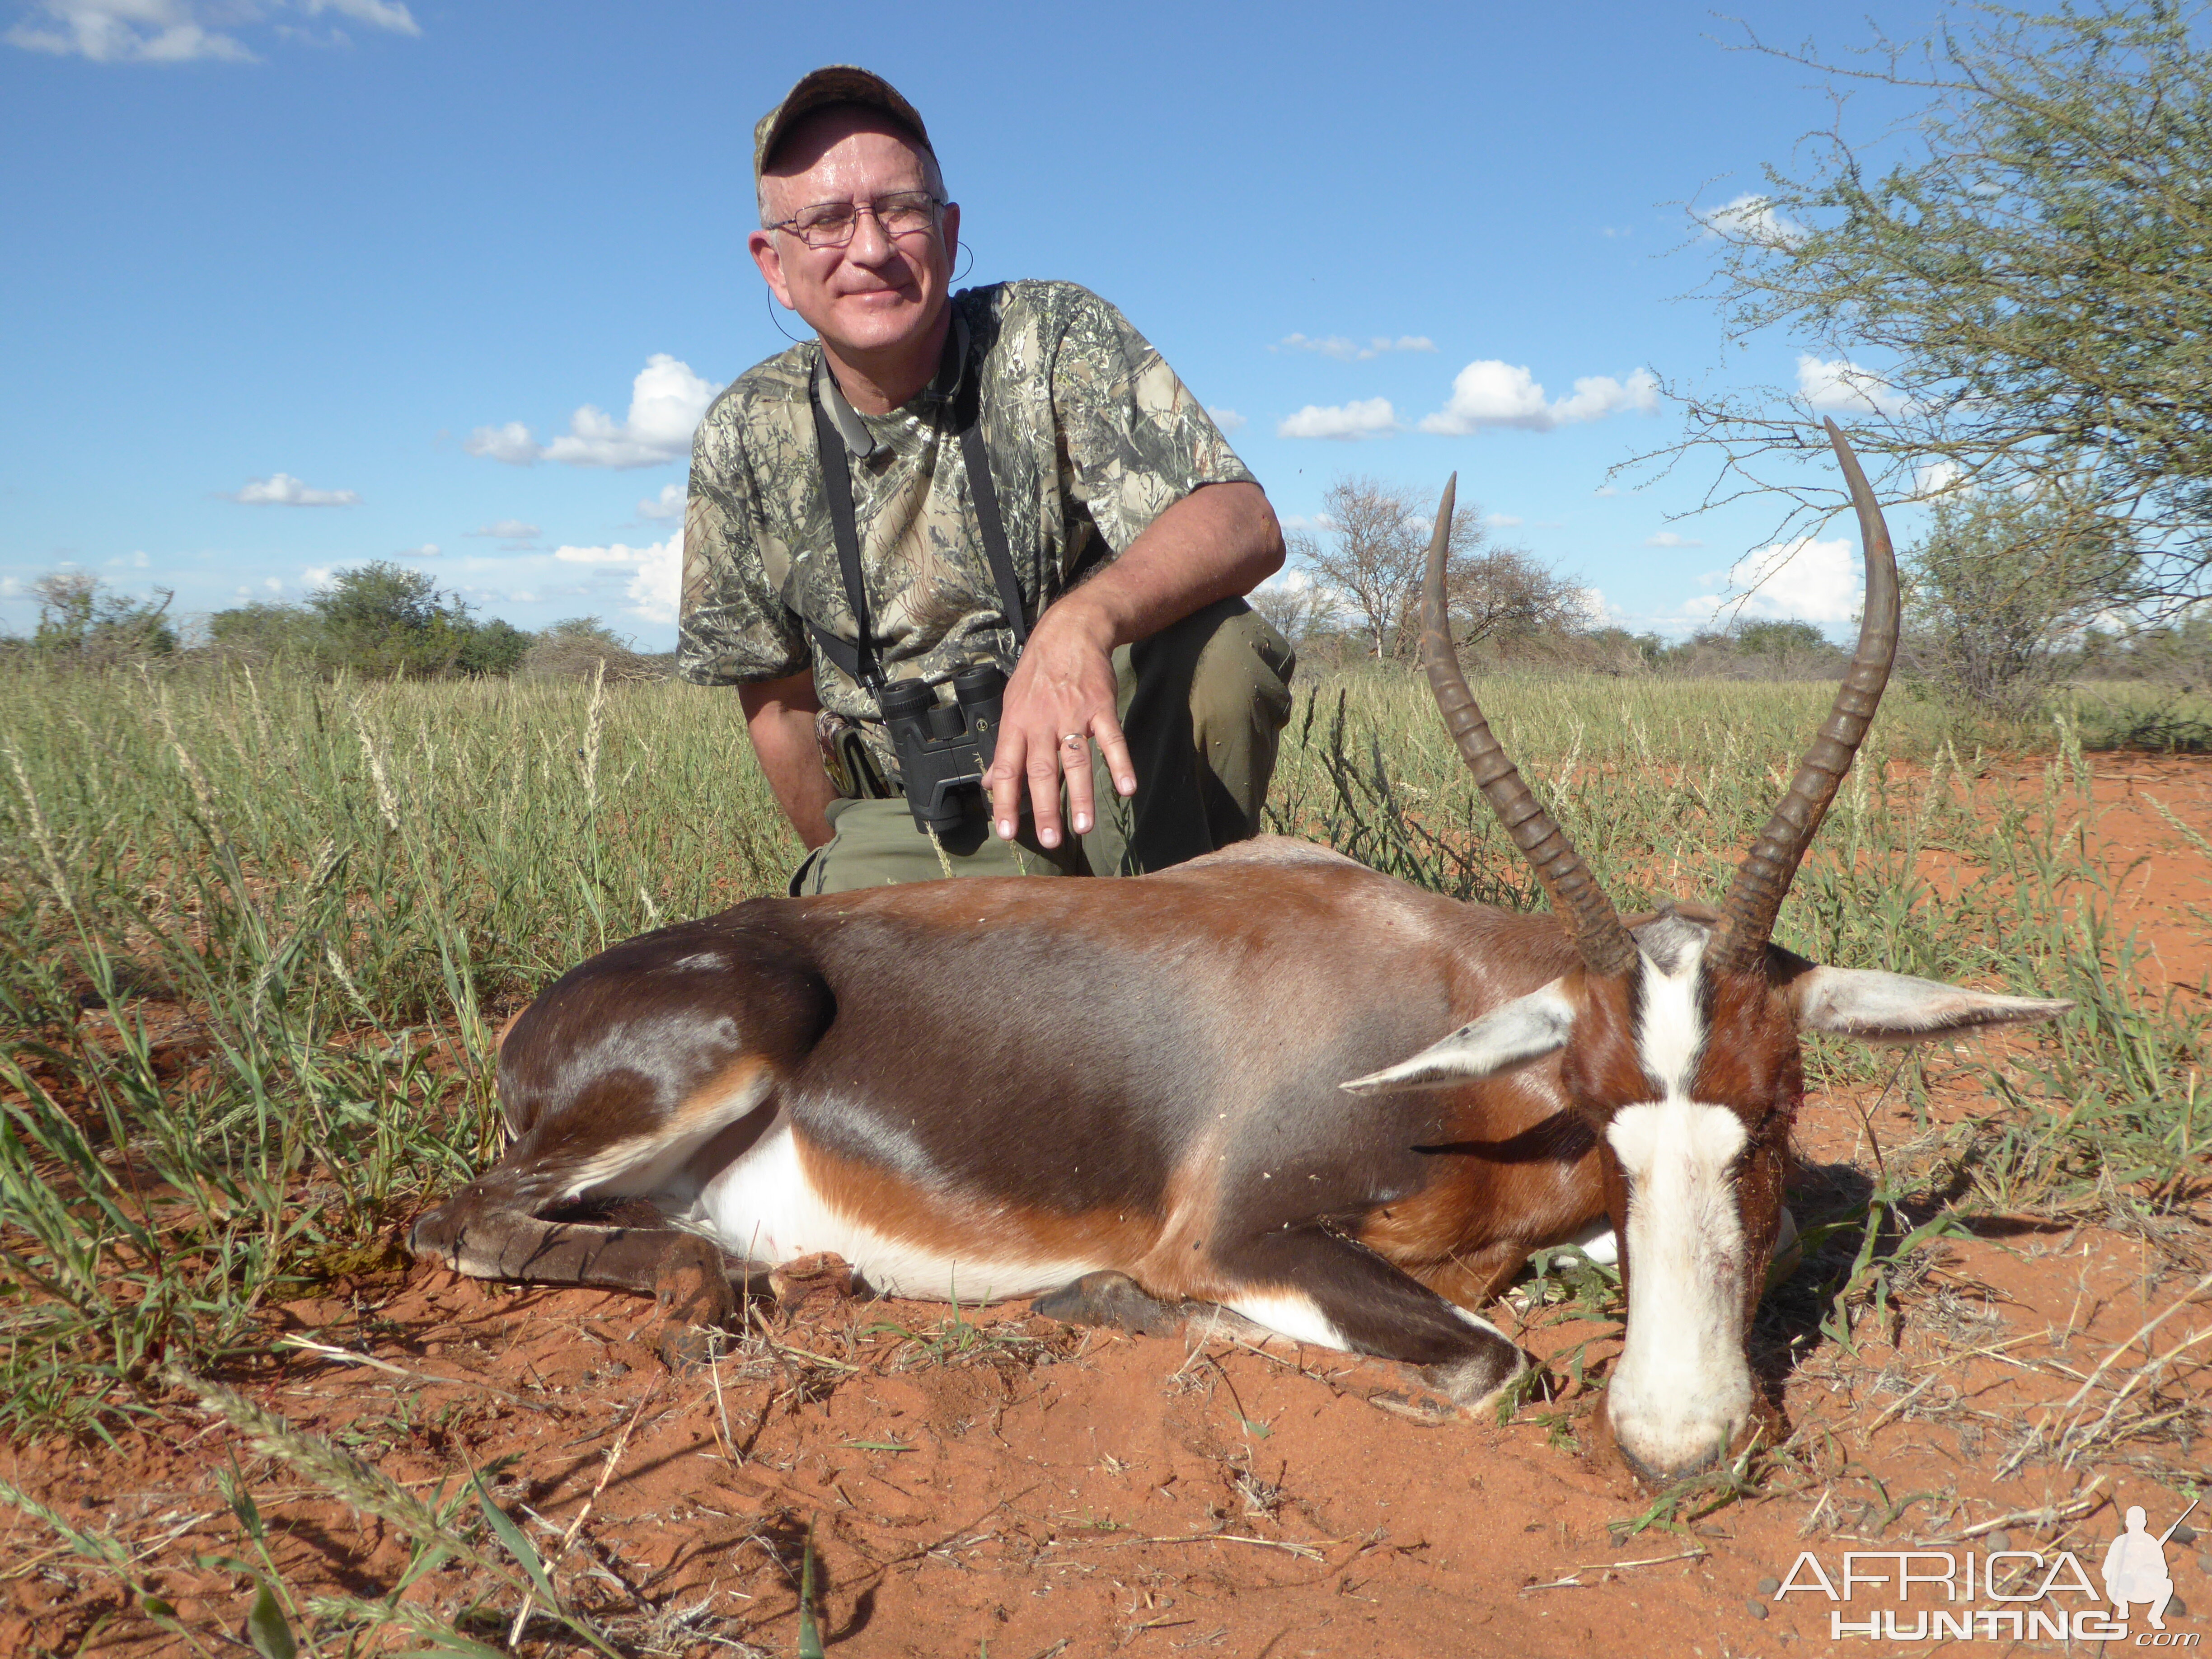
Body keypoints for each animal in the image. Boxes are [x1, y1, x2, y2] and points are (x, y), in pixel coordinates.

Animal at [403, 425, 2070, 1477]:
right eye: (1597, 1108)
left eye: (1775, 1113)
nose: (1678, 1446)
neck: (1444, 1025)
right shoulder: (1236, 1237)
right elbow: (1485, 1356)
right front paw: (1097, 1302)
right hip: (712, 1052)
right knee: (460, 1221)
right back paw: (720, 1280)